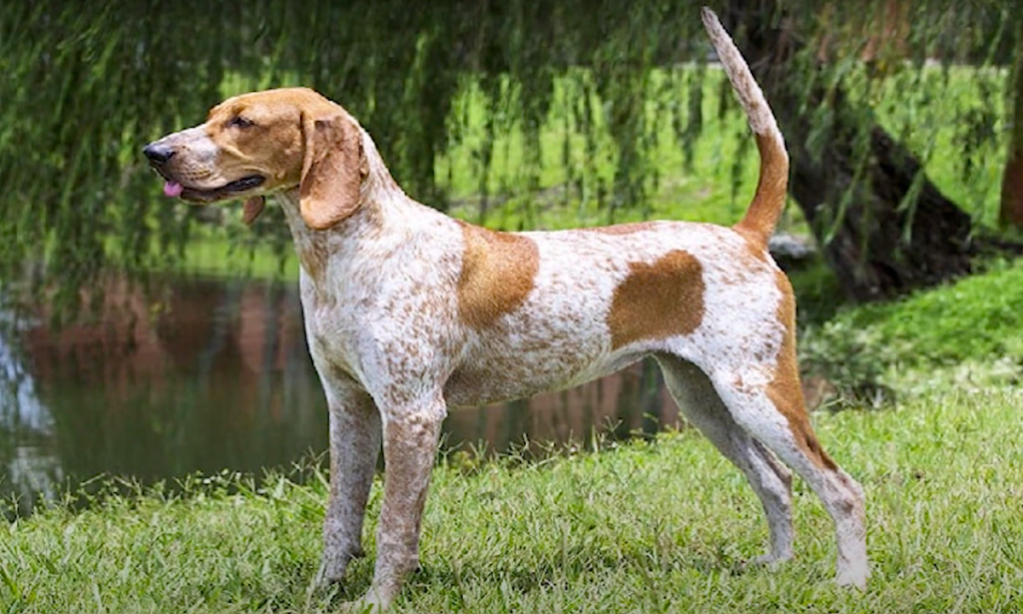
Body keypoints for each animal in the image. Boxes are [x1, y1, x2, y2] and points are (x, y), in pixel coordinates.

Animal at [142, 8, 863, 609]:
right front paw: (322, 594)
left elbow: (393, 526)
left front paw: (377, 603)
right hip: (703, 400)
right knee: (777, 483)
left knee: (841, 489)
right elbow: (340, 520)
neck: (351, 251)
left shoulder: (412, 413)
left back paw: (850, 583)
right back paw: (775, 567)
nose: (154, 153)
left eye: (243, 121)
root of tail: (746, 233)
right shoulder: (348, 409)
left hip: (757, 393)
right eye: (213, 113)